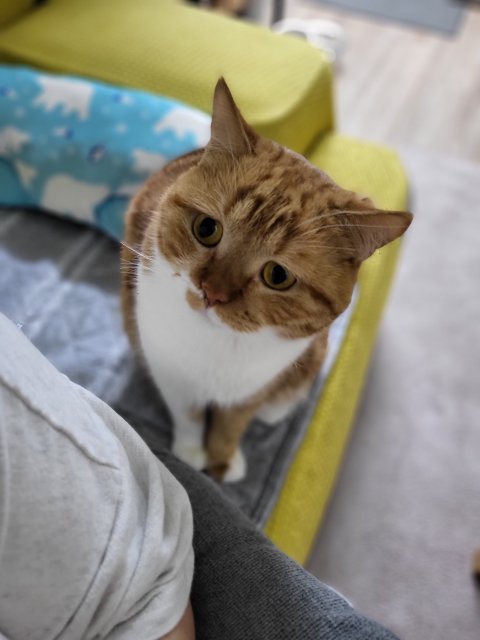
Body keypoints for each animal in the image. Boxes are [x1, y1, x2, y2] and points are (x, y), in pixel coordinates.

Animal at [121, 78, 412, 481]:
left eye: (278, 276)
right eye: (206, 229)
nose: (211, 293)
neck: (216, 345)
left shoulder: (254, 388)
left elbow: (232, 425)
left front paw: (223, 461)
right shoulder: (170, 369)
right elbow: (188, 415)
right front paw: (191, 454)